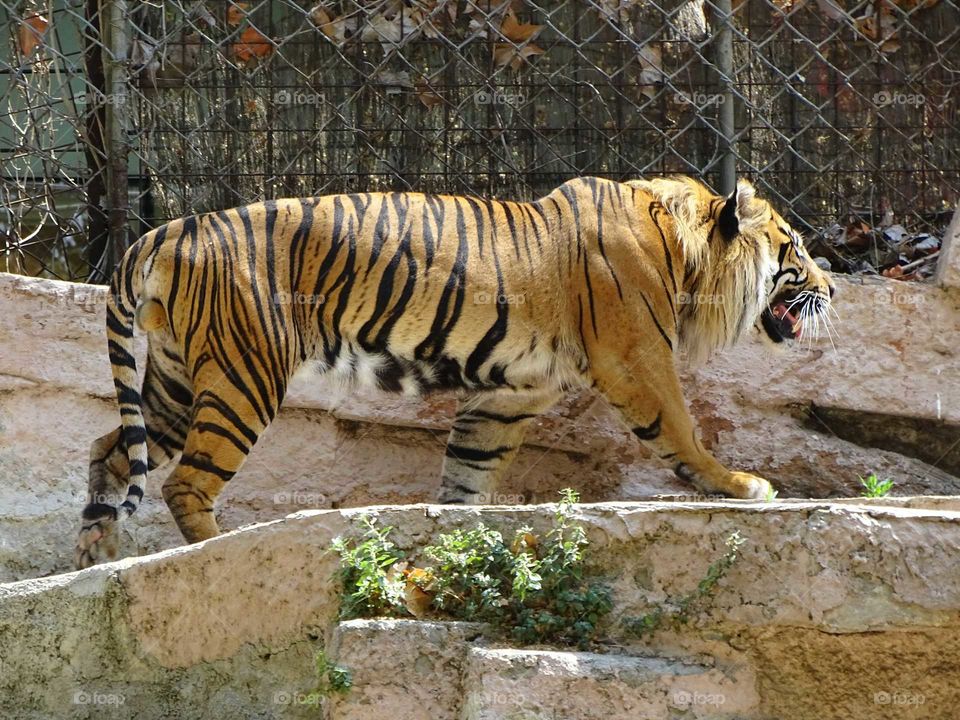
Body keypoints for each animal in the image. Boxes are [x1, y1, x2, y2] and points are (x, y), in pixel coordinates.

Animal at [75, 175, 835, 568]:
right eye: (794, 249)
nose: (834, 288)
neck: (684, 254)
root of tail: (163, 231)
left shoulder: (509, 394)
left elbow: (467, 473)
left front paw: (455, 535)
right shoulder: (638, 359)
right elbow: (683, 431)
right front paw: (741, 485)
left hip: (175, 382)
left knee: (110, 451)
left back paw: (95, 554)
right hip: (243, 376)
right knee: (184, 482)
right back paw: (211, 554)